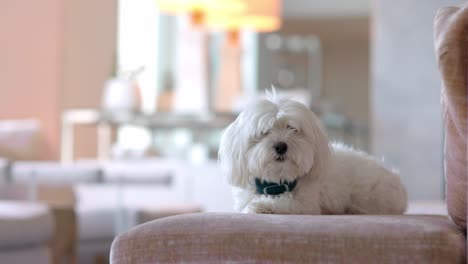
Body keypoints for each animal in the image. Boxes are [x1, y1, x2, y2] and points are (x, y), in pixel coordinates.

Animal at [219, 97, 406, 214]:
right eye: (264, 132)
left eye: (292, 128)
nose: (281, 146)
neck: (275, 184)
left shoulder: (305, 203)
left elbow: (284, 201)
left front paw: (259, 205)